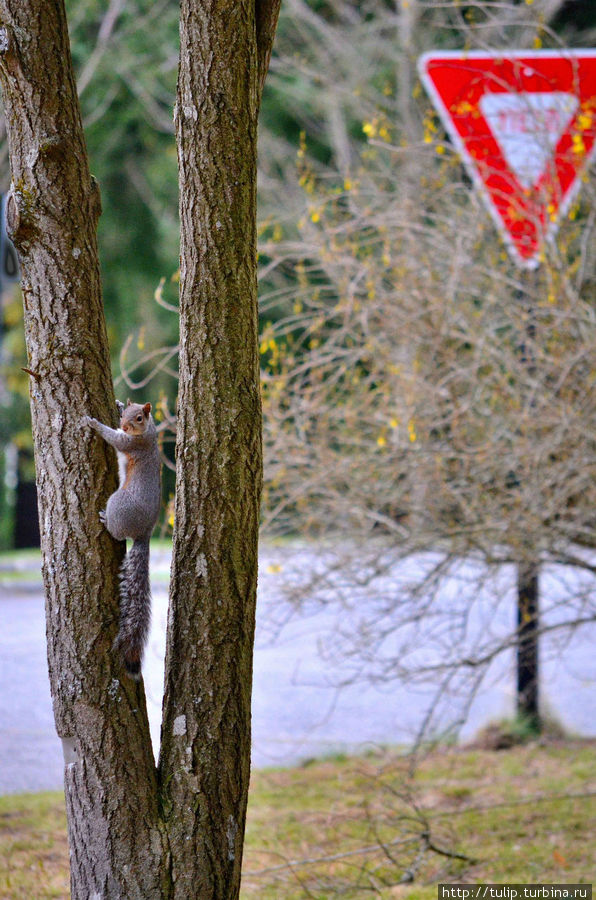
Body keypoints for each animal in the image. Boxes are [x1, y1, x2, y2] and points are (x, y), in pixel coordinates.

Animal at [85, 398, 161, 680]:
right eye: (127, 412)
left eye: (139, 417)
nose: (125, 425)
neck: (147, 432)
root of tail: (145, 532)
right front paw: (117, 403)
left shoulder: (132, 443)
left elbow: (115, 439)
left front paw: (94, 423)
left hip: (118, 503)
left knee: (118, 532)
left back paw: (107, 522)